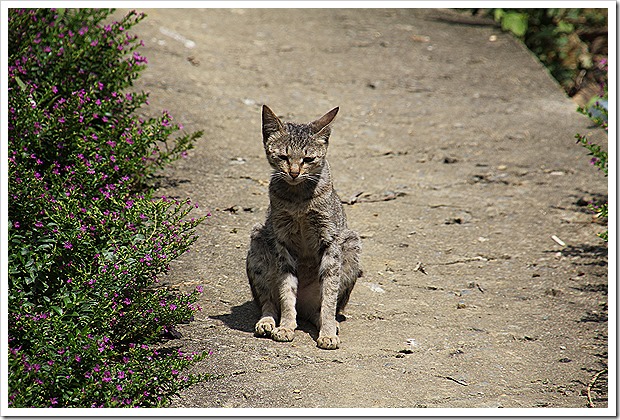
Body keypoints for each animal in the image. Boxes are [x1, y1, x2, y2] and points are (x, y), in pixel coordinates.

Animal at [246, 106, 364, 352]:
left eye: (308, 159)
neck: (298, 199)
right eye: (283, 157)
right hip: (258, 241)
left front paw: (327, 332)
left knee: (319, 309)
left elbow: (329, 298)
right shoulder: (282, 241)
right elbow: (286, 292)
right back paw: (267, 322)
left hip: (351, 243)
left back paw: (329, 324)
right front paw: (285, 327)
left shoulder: (330, 241)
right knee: (268, 302)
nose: (293, 172)